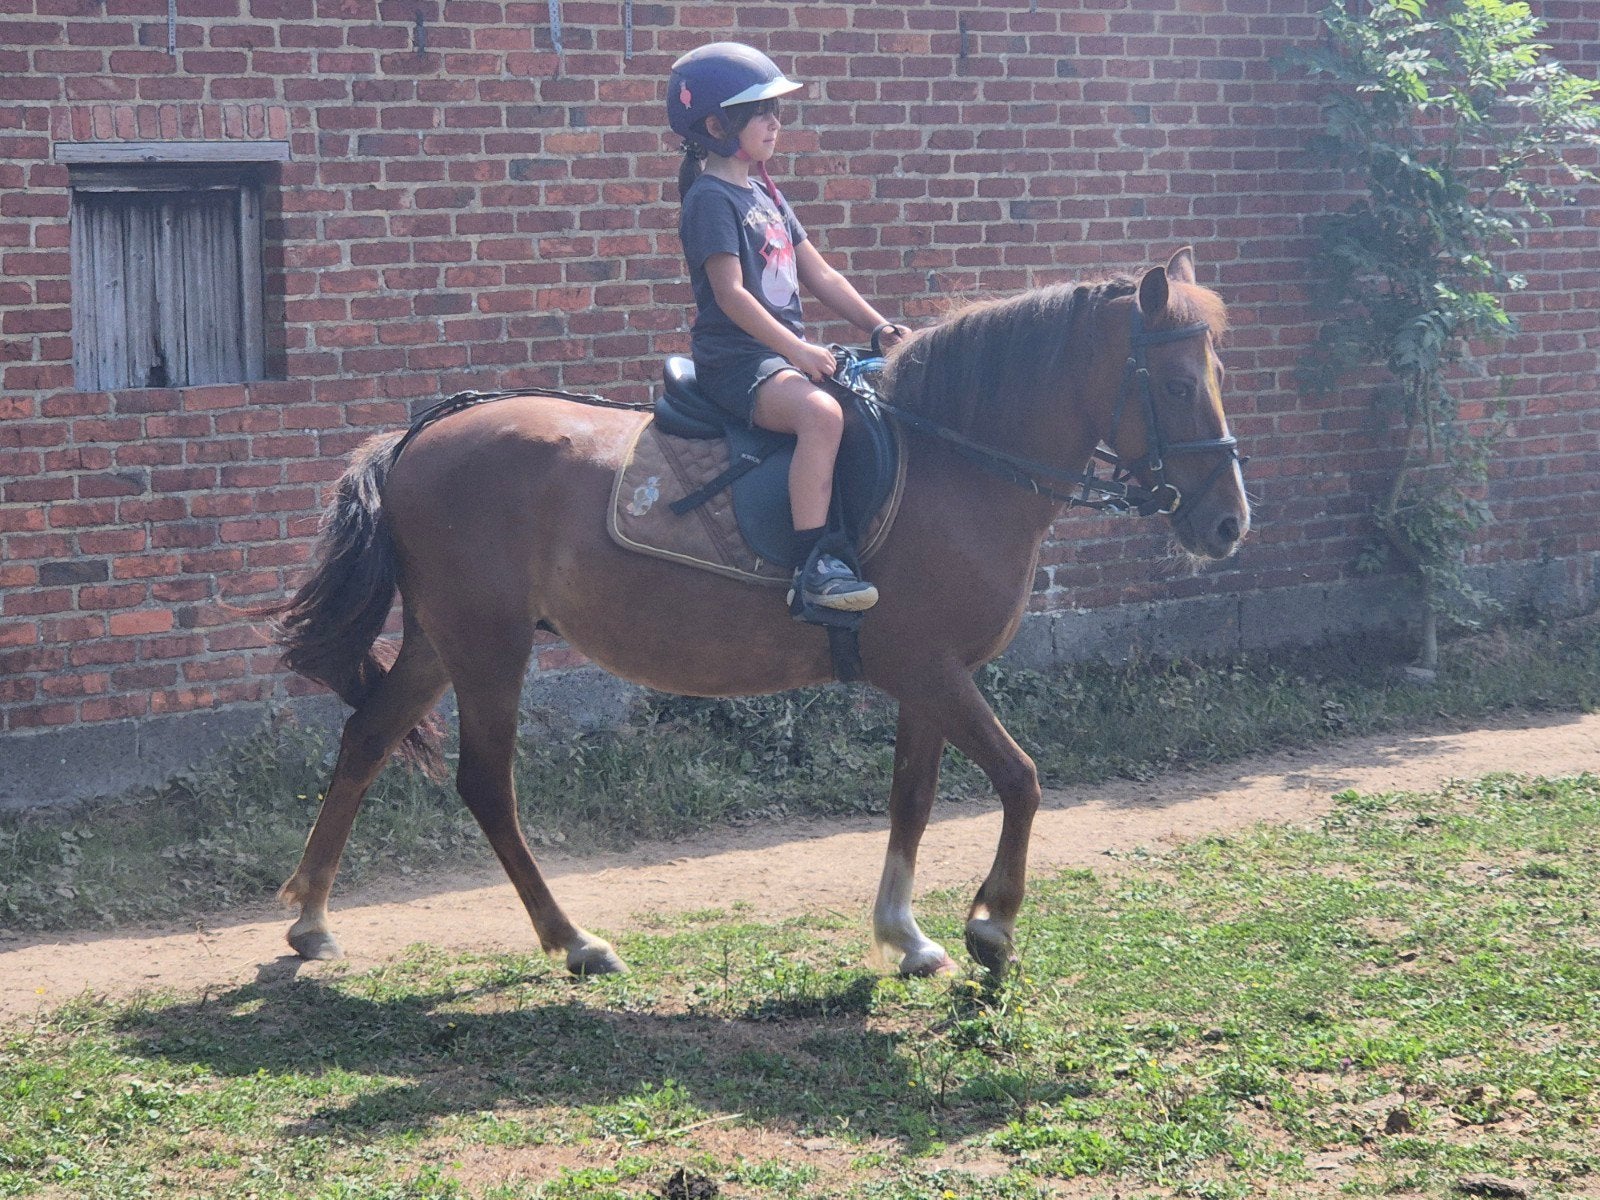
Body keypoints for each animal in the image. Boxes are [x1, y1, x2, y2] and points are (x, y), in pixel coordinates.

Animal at [268, 247, 1250, 980]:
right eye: (1172, 383)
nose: (1228, 523)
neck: (954, 462)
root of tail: (417, 436)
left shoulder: (928, 677)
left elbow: (913, 796)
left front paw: (905, 933)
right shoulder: (929, 668)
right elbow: (1021, 779)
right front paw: (991, 926)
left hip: (442, 641)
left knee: (365, 739)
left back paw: (311, 919)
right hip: (488, 647)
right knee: (485, 784)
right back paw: (573, 940)